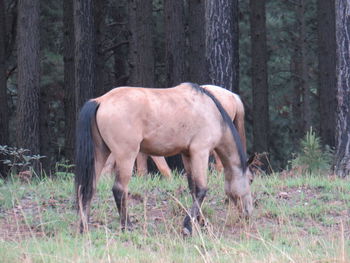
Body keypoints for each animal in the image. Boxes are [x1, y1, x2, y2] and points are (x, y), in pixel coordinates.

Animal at [75, 82, 253, 235]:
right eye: (250, 180)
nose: (248, 213)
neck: (212, 111)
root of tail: (100, 100)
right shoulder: (200, 152)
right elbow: (201, 189)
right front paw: (189, 225)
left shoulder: (187, 154)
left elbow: (193, 189)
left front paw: (200, 221)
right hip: (126, 156)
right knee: (119, 189)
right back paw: (127, 226)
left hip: (101, 153)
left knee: (88, 188)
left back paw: (84, 227)